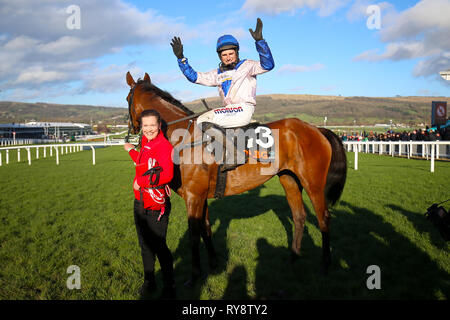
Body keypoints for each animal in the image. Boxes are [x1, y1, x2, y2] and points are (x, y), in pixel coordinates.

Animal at [126, 72, 348, 282]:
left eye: (127, 98)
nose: (132, 130)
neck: (185, 137)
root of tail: (317, 129)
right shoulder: (201, 196)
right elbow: (206, 229)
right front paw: (214, 264)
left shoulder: (193, 197)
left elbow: (194, 236)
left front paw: (195, 275)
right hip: (289, 179)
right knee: (299, 216)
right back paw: (293, 256)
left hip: (313, 184)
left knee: (323, 218)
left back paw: (326, 264)